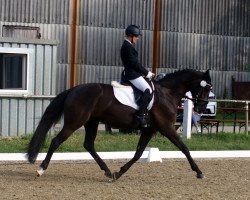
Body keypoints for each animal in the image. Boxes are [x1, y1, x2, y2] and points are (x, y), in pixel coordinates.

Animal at [27, 69, 213, 180]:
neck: (167, 94)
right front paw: (199, 172)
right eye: (206, 88)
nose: (201, 108)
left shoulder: (149, 130)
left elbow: (138, 154)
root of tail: (73, 90)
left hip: (92, 122)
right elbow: (184, 148)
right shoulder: (167, 128)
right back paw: (41, 169)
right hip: (75, 122)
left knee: (89, 145)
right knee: (56, 141)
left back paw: (108, 171)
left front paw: (119, 172)